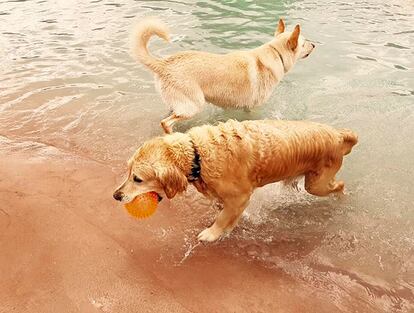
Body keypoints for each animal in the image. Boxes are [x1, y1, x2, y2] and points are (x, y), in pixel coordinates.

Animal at [112, 119, 356, 241]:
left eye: (138, 179)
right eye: (128, 171)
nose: (116, 195)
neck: (198, 155)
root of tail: (339, 134)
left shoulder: (240, 196)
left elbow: (223, 218)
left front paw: (211, 234)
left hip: (316, 184)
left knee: (340, 186)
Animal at [131, 18, 316, 133]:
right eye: (304, 42)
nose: (314, 45)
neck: (275, 53)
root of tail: (164, 63)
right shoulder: (254, 108)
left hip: (177, 104)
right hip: (193, 105)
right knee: (166, 123)